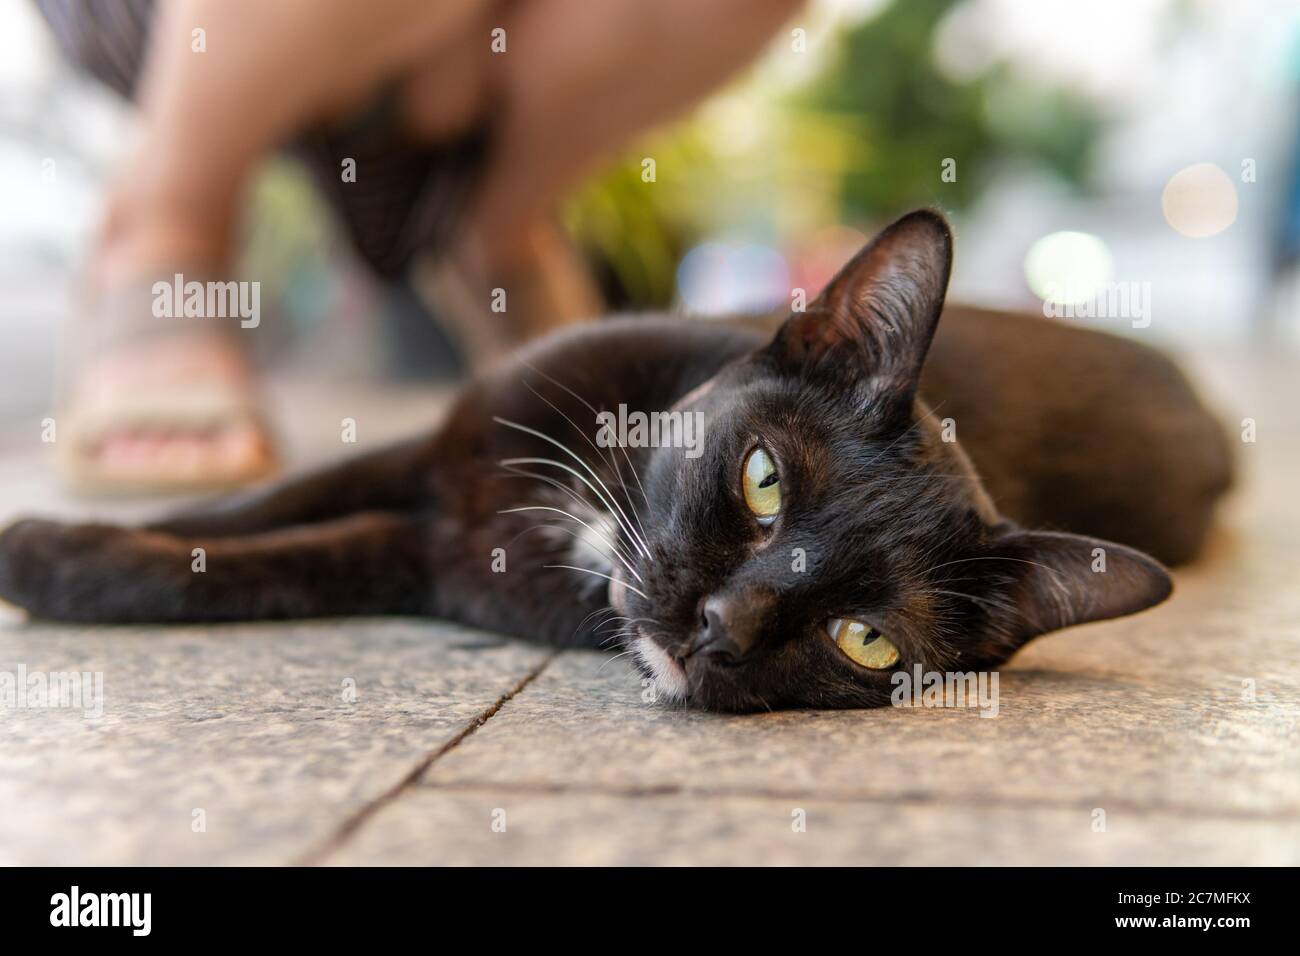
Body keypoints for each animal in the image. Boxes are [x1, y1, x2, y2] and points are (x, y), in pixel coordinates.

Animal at [0, 213, 1227, 712]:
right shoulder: (440, 444)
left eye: (866, 640)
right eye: (763, 479)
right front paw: (63, 531)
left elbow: (280, 563)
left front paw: (62, 566)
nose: (723, 625)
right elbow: (267, 500)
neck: (599, 502)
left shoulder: (434, 556)